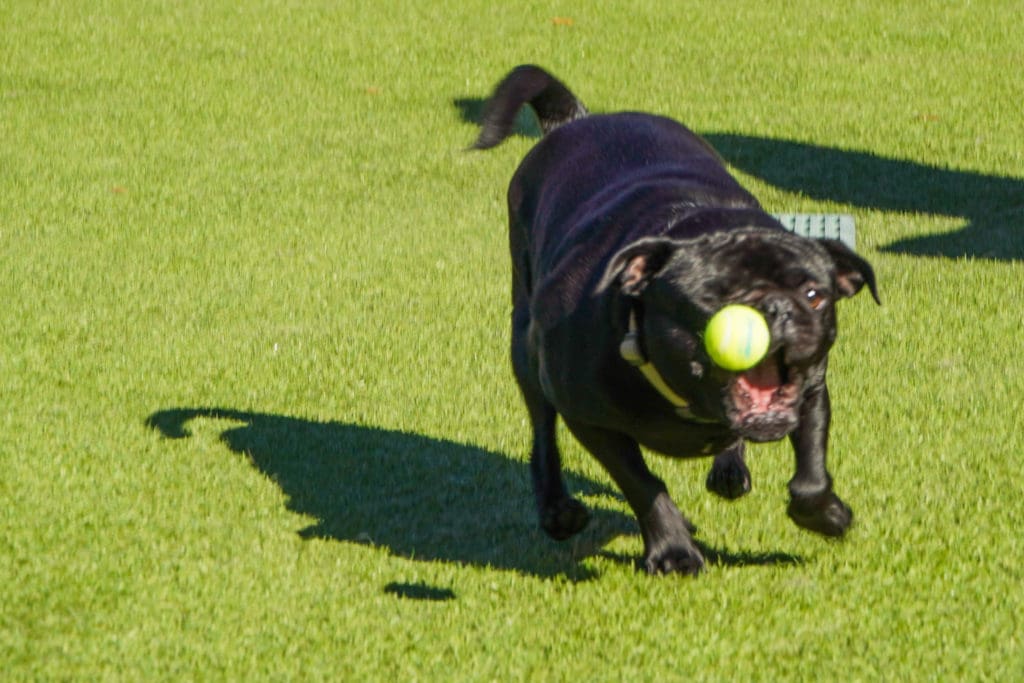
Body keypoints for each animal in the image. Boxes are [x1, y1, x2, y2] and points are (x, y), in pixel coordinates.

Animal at [471, 65, 880, 577]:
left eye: (814, 295)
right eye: (712, 299)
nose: (775, 308)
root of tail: (574, 119)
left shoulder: (811, 391)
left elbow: (810, 472)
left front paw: (827, 514)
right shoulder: (589, 418)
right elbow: (643, 486)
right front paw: (673, 551)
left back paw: (730, 468)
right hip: (527, 352)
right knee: (543, 435)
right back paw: (558, 512)